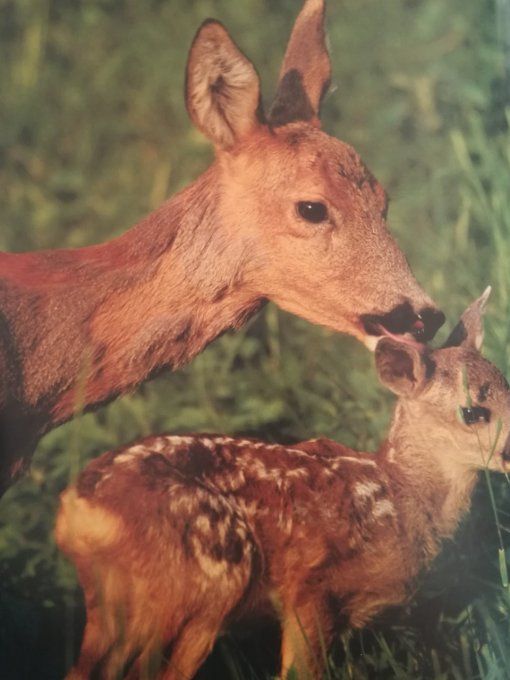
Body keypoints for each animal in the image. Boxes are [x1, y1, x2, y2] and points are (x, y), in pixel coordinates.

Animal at [55, 290, 506, 680]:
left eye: (509, 388)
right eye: (473, 412)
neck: (400, 497)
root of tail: (80, 511)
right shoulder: (310, 589)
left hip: (114, 607)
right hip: (204, 583)